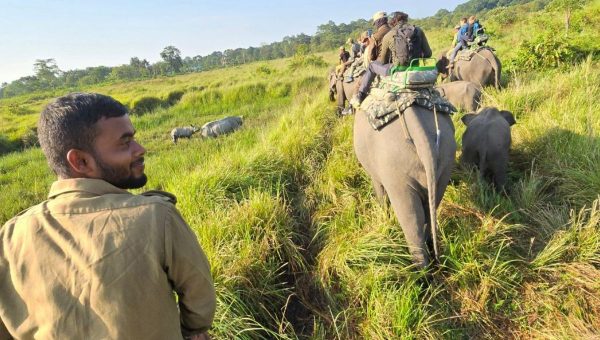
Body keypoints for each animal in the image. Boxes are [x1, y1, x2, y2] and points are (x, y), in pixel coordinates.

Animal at [354, 105, 458, 266]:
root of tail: (422, 137)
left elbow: (379, 189)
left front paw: (386, 219)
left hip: (395, 169)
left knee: (412, 219)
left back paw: (421, 270)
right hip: (446, 160)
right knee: (430, 208)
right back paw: (431, 254)